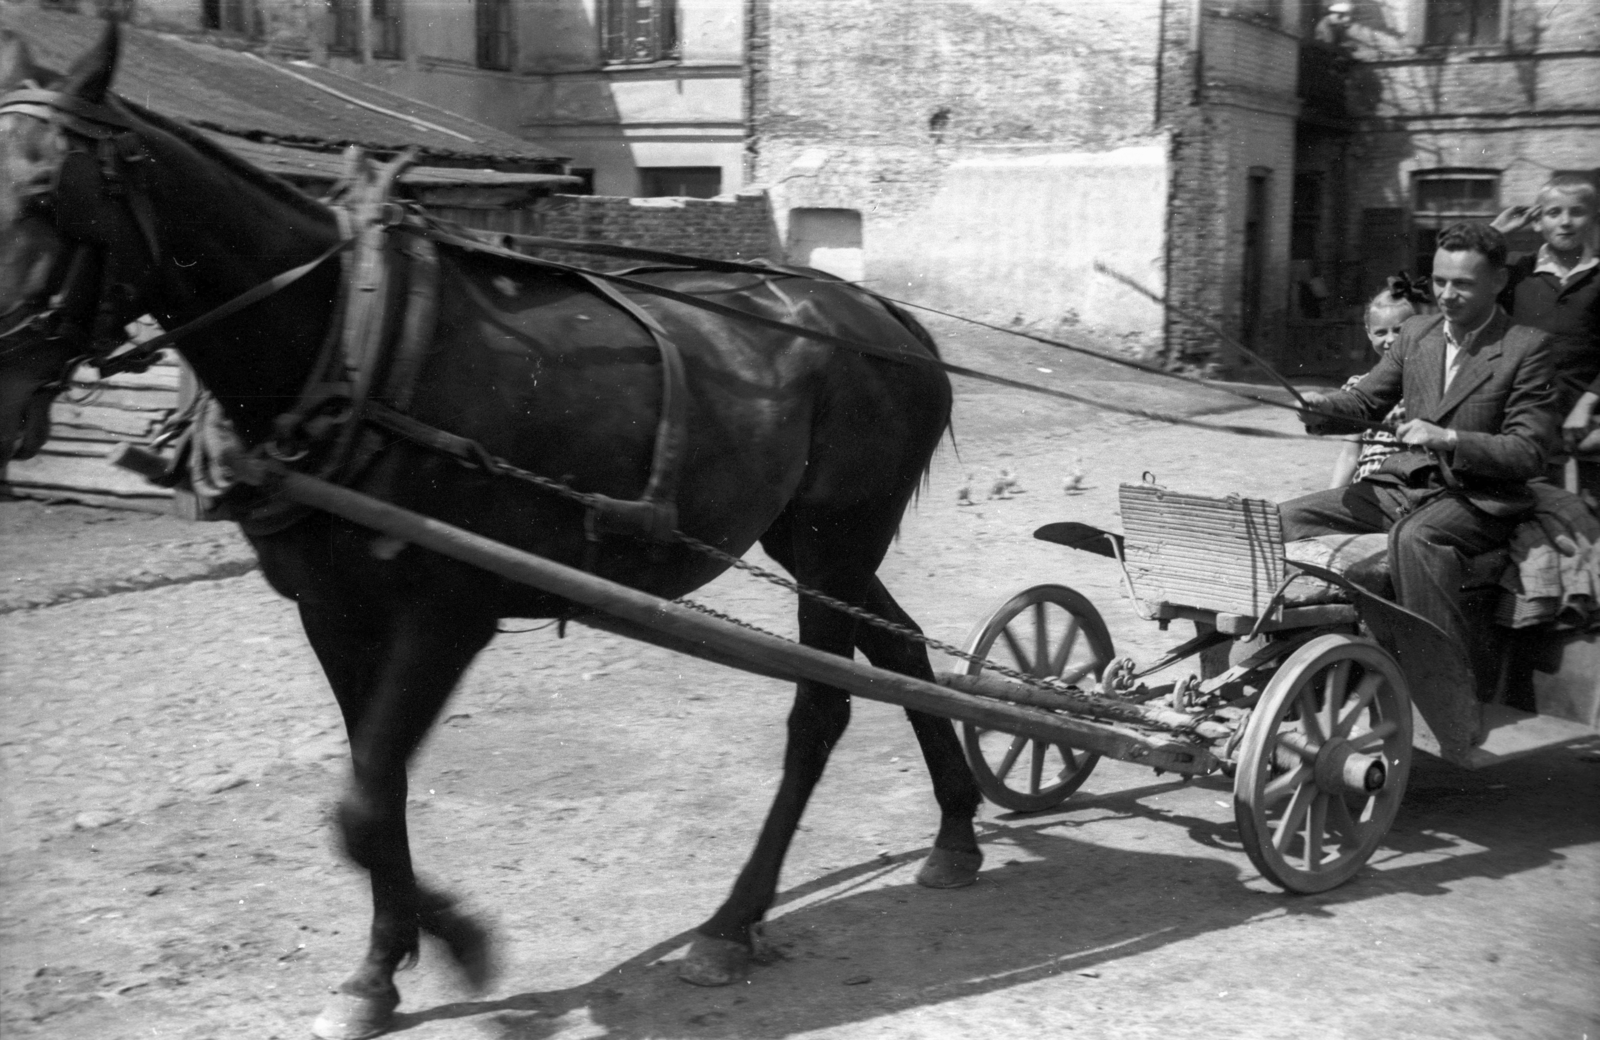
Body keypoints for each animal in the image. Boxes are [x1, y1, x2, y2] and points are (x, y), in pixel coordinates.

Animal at [0, 22, 979, 1036]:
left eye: (46, 194)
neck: (356, 340)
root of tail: (883, 314)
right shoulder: (331, 608)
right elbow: (376, 785)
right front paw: (380, 967)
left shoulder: (448, 611)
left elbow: (362, 798)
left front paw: (459, 944)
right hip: (814, 542)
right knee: (903, 650)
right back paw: (956, 830)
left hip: (833, 538)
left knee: (821, 710)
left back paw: (732, 923)